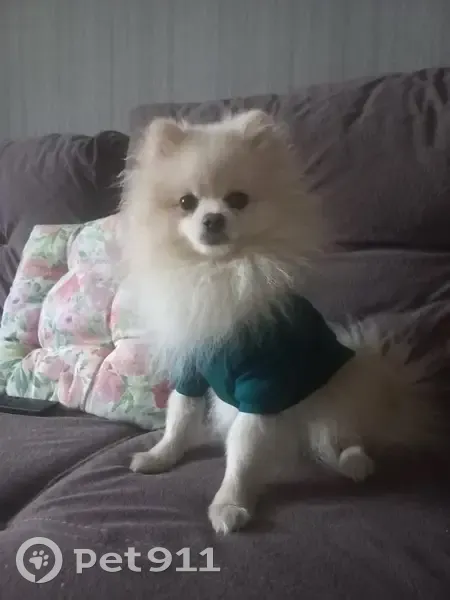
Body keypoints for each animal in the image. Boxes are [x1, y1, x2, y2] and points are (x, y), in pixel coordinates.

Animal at [119, 109, 438, 534]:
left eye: (238, 200)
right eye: (186, 203)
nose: (213, 219)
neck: (218, 272)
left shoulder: (263, 385)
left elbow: (243, 452)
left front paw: (230, 504)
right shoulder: (193, 370)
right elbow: (180, 417)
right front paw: (161, 455)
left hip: (331, 402)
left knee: (338, 439)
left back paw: (353, 462)